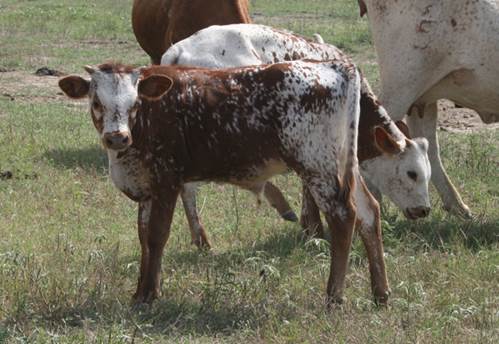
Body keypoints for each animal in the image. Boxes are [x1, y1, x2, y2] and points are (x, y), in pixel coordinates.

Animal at [58, 59, 394, 306]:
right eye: (96, 102)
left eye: (134, 102)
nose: (117, 137)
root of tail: (334, 65)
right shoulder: (147, 188)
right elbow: (143, 237)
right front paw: (140, 291)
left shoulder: (167, 182)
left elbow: (156, 236)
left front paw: (150, 295)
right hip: (344, 166)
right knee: (369, 212)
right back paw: (380, 293)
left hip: (318, 168)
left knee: (343, 217)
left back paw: (333, 296)